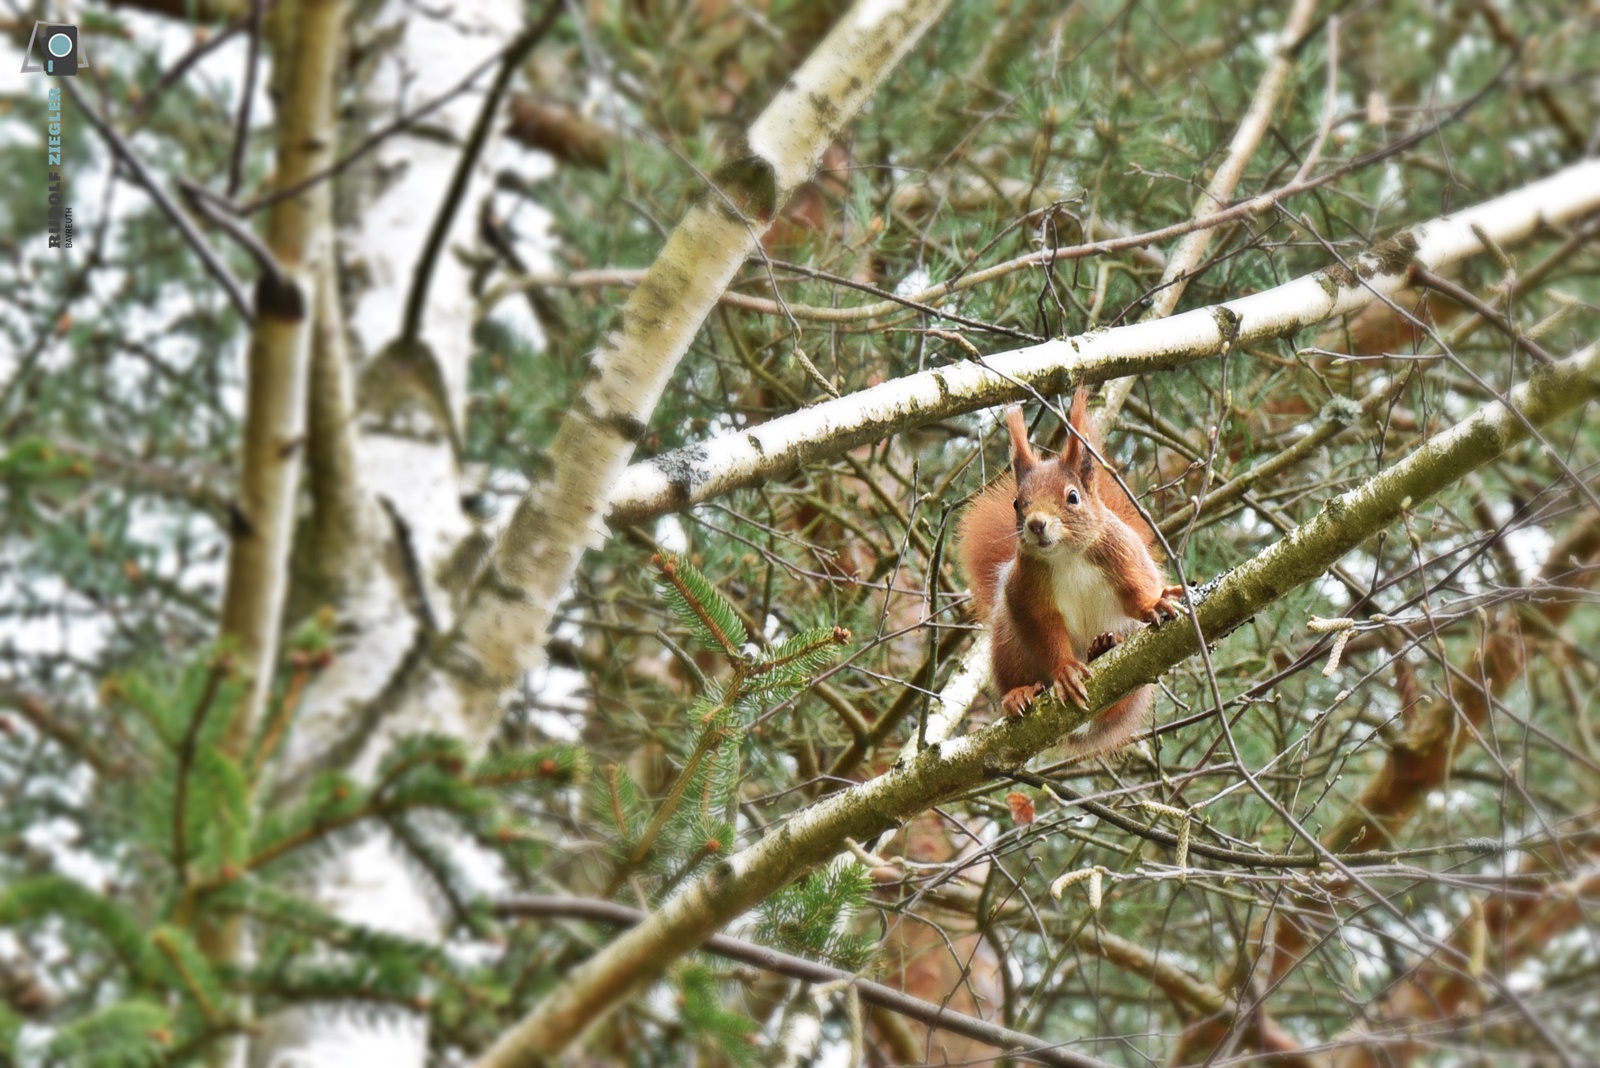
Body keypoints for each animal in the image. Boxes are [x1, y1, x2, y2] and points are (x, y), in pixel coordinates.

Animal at [953, 391, 1184, 757]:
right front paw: (1064, 671)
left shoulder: (1121, 555)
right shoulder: (1025, 592)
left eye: (1072, 497)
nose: (1036, 523)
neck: (1066, 556)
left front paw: (1154, 603)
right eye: (1017, 503)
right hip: (1008, 646)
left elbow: (1136, 594)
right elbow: (1045, 631)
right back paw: (1020, 693)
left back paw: (1102, 647)